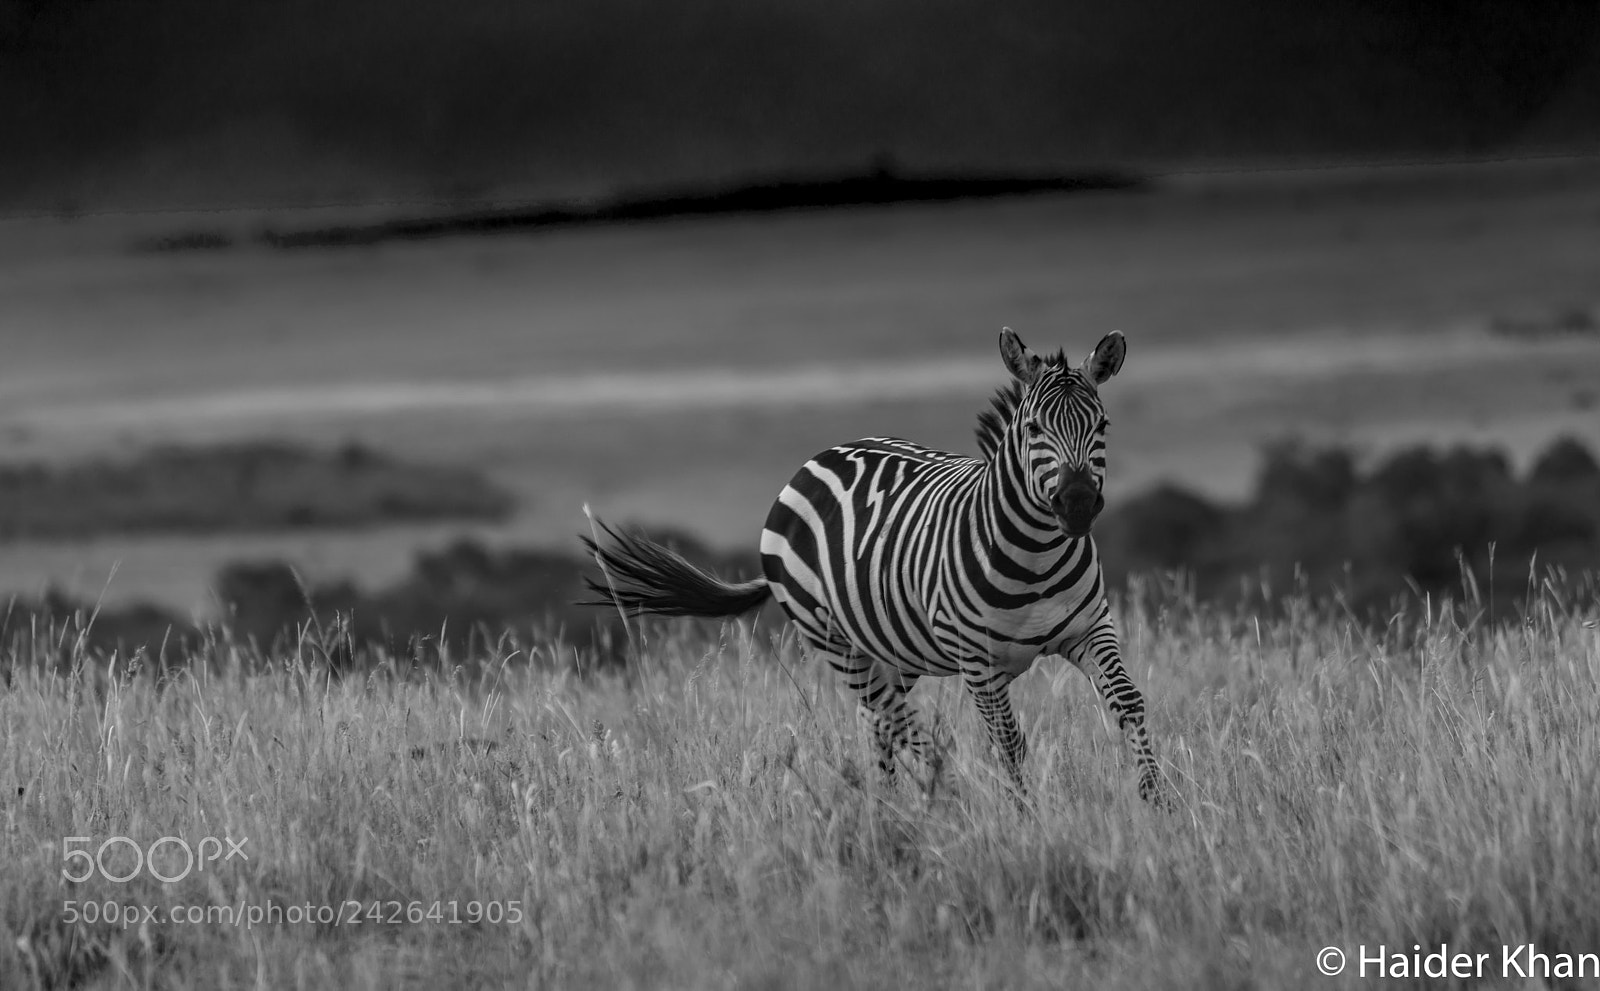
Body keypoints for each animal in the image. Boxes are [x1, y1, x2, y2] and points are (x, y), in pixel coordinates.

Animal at [583, 328, 1164, 803]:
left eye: (1103, 424)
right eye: (1035, 428)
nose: (1078, 503)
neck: (1036, 557)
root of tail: (817, 459)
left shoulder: (1090, 629)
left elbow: (1129, 703)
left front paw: (1158, 801)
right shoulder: (977, 662)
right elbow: (1008, 741)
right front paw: (1025, 818)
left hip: (893, 649)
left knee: (877, 722)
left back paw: (890, 806)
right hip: (836, 641)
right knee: (895, 722)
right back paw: (938, 798)